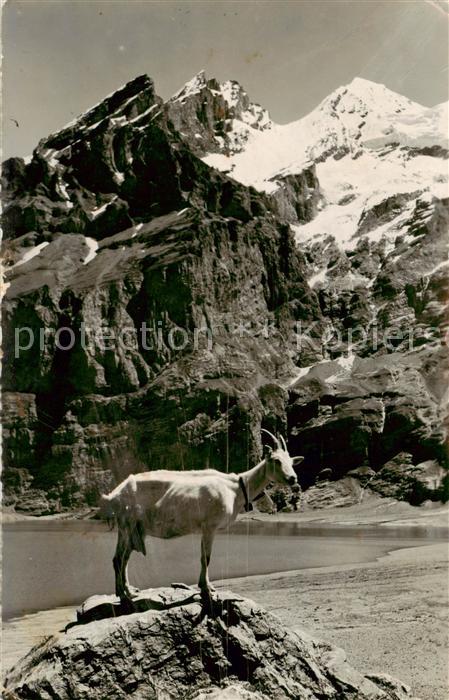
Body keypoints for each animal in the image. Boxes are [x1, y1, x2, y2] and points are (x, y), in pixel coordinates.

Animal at [97, 430, 300, 600]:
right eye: (276, 460)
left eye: (291, 461)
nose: (293, 479)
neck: (235, 488)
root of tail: (114, 496)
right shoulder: (209, 526)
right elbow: (206, 557)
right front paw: (207, 589)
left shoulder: (205, 527)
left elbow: (204, 556)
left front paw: (206, 587)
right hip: (128, 524)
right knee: (121, 559)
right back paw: (126, 594)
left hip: (127, 528)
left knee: (120, 558)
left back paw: (126, 591)